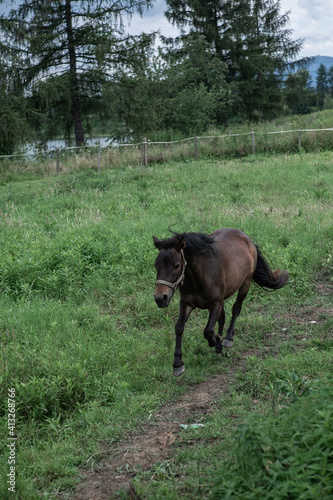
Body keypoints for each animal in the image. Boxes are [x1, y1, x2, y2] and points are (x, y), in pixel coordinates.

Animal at [153, 229, 288, 376]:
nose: (160, 298)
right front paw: (178, 364)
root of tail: (247, 239)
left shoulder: (216, 303)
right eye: (156, 264)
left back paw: (227, 339)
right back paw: (219, 347)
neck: (198, 277)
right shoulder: (186, 303)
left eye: (176, 265)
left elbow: (208, 331)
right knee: (222, 317)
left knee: (236, 309)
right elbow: (179, 327)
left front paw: (217, 339)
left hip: (245, 285)